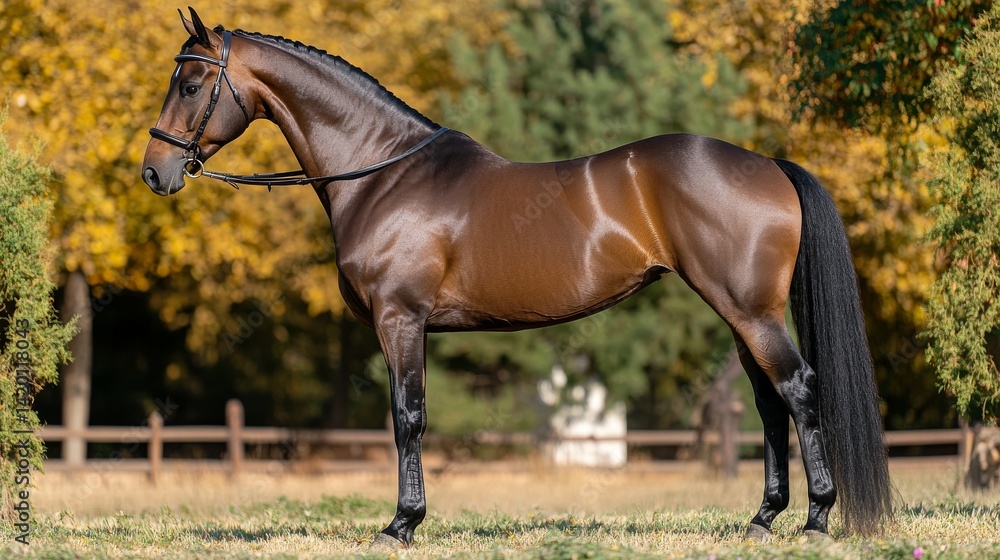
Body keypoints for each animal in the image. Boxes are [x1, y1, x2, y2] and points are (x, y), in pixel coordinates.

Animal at [142, 8, 892, 547]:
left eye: (191, 83)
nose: (155, 172)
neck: (383, 173)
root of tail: (768, 165)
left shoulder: (400, 319)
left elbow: (408, 417)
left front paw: (401, 524)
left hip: (749, 310)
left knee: (798, 389)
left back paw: (817, 519)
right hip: (738, 313)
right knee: (769, 402)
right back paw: (762, 518)